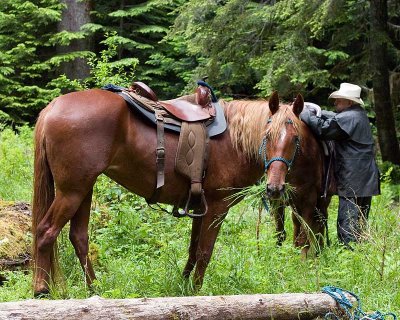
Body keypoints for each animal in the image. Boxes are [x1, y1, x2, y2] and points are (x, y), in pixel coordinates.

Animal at [32, 89, 328, 296]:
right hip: (72, 191)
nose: (274, 187)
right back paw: (41, 289)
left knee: (78, 237)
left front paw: (184, 287)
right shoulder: (217, 207)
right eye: (267, 135)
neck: (234, 140)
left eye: (295, 139)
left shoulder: (199, 206)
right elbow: (205, 252)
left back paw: (94, 289)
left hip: (83, 188)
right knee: (46, 232)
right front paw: (196, 292)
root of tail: (52, 107)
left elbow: (193, 249)